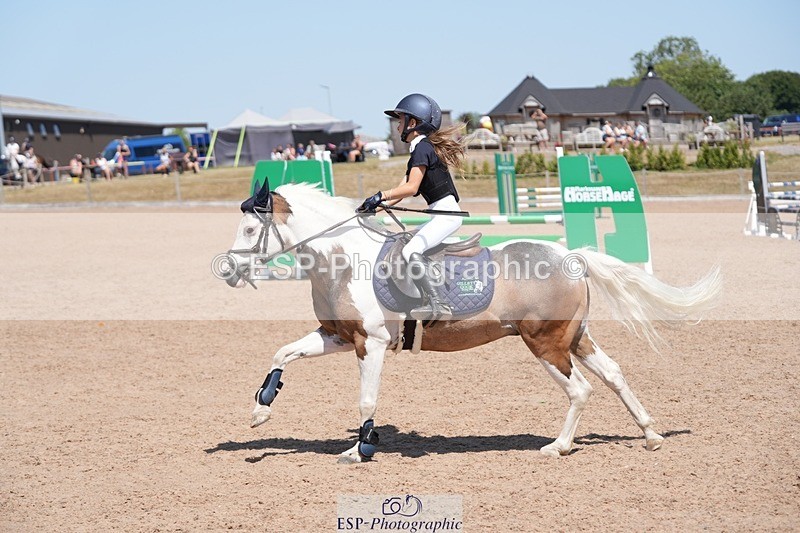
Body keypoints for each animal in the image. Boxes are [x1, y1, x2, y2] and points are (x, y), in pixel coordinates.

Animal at [219, 181, 722, 463]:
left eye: (250, 230)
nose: (227, 270)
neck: (342, 259)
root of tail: (571, 256)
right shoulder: (337, 337)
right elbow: (282, 352)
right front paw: (261, 408)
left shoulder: (371, 343)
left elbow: (366, 399)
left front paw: (358, 450)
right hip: (575, 337)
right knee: (614, 374)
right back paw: (651, 435)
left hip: (545, 344)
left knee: (580, 389)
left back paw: (558, 447)